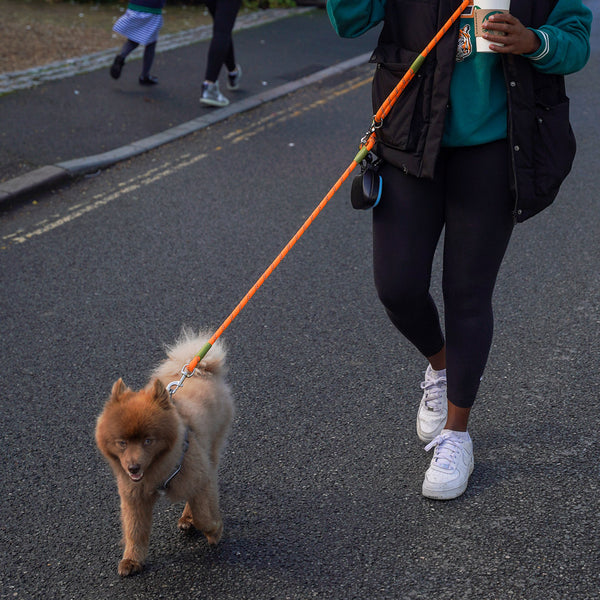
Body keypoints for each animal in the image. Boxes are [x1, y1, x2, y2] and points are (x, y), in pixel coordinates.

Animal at [95, 332, 233, 576]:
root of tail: (201, 369)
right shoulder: (134, 495)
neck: (157, 469)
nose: (133, 467)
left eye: (148, 441)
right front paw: (132, 560)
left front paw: (214, 530)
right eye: (122, 443)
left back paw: (188, 517)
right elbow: (135, 530)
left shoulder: (200, 477)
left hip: (212, 448)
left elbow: (203, 514)